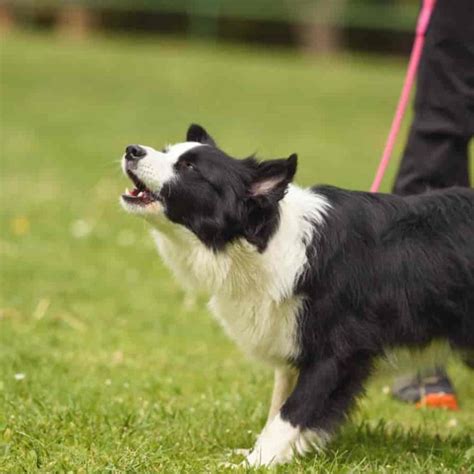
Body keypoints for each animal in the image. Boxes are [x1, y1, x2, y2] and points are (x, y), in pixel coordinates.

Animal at [119, 123, 474, 466]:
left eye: (190, 167)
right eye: (166, 151)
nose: (131, 150)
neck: (262, 242)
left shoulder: (339, 351)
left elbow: (292, 412)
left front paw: (258, 460)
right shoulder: (291, 336)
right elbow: (279, 404)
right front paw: (266, 453)